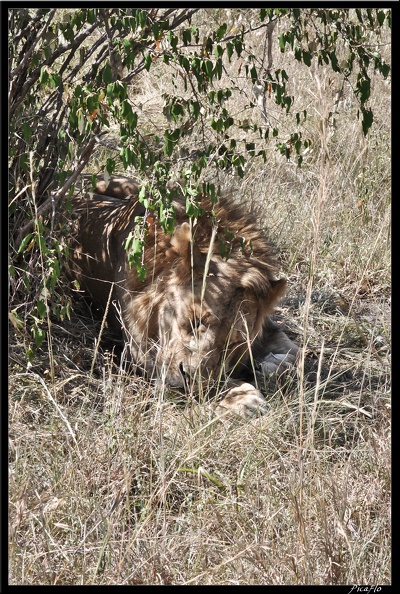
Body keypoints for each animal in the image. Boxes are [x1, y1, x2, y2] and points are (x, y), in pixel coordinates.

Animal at [69, 176, 296, 416]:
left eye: (233, 343)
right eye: (194, 321)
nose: (187, 382)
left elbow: (293, 351)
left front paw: (272, 366)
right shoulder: (138, 349)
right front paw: (243, 397)